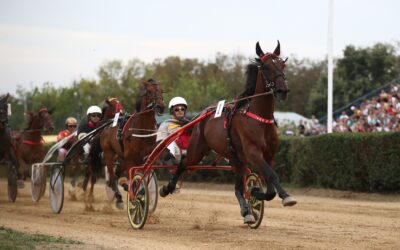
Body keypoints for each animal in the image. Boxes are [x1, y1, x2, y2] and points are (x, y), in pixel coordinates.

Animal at [101, 79, 165, 208]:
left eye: (162, 90)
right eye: (149, 91)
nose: (160, 106)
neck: (142, 130)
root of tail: (107, 124)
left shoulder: (146, 159)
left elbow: (144, 179)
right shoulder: (131, 160)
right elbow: (133, 180)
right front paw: (134, 196)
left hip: (122, 157)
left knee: (117, 173)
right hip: (109, 154)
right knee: (113, 175)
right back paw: (119, 197)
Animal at [160, 42, 296, 224]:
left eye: (282, 64)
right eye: (266, 67)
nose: (283, 90)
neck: (259, 119)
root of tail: (202, 115)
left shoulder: (268, 156)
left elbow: (269, 188)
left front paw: (255, 192)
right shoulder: (253, 153)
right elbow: (272, 177)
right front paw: (285, 196)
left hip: (236, 159)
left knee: (237, 187)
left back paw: (247, 212)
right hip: (198, 149)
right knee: (183, 164)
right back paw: (167, 188)